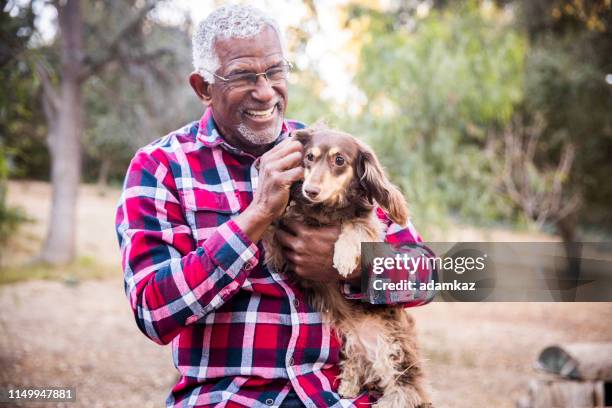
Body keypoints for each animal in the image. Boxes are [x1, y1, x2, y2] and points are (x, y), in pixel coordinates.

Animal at [262, 125, 430, 408]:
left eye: (339, 160)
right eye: (309, 157)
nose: (310, 190)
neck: (324, 211)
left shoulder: (370, 227)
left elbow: (354, 226)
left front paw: (342, 256)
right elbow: (275, 226)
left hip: (391, 346)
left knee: (405, 389)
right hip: (351, 344)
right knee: (359, 366)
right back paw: (348, 385)